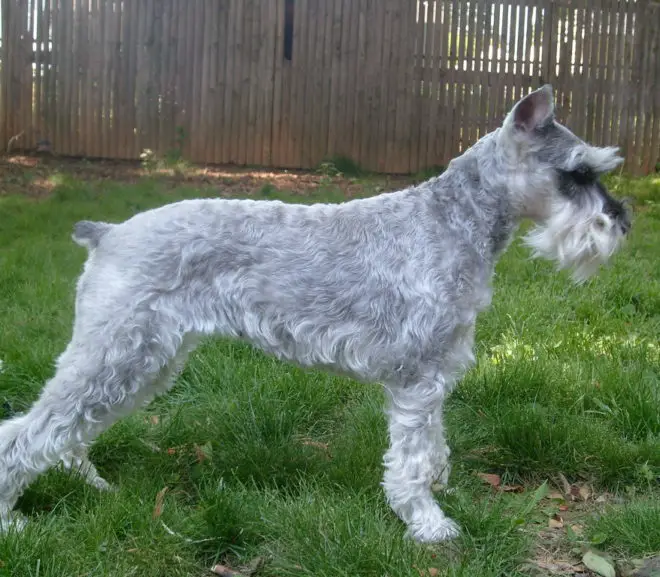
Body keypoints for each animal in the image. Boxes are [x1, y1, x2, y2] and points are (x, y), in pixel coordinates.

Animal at [0, 84, 628, 540]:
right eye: (578, 172)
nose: (622, 222)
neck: (455, 219)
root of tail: (107, 232)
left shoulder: (438, 372)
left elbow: (434, 446)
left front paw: (439, 489)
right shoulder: (417, 378)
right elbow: (411, 458)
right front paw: (428, 523)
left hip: (141, 360)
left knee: (68, 428)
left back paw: (92, 484)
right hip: (116, 351)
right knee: (28, 431)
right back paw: (13, 519)